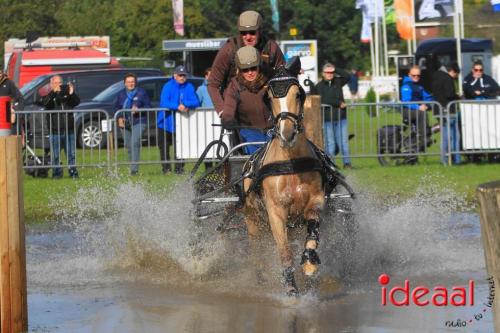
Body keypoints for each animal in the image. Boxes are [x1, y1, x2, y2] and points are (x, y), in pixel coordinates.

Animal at [243, 66, 328, 294]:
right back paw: (260, 277)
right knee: (255, 247)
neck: (291, 164)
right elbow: (284, 251)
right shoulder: (275, 212)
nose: (286, 133)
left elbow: (313, 229)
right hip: (253, 221)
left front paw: (309, 262)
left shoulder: (315, 200)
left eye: (298, 94)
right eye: (270, 97)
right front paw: (291, 288)